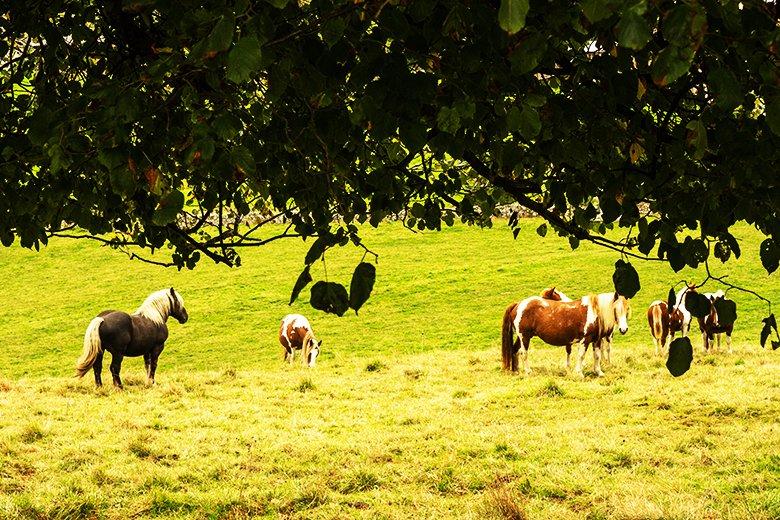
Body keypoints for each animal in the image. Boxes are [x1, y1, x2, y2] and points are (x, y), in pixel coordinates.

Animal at [502, 294, 632, 376]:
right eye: (615, 309)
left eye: (627, 310)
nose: (624, 329)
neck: (595, 312)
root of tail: (518, 304)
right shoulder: (585, 340)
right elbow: (581, 356)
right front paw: (579, 373)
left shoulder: (596, 340)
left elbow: (597, 356)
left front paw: (598, 372)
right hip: (524, 337)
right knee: (523, 353)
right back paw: (528, 371)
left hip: (521, 337)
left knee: (514, 350)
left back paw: (516, 371)